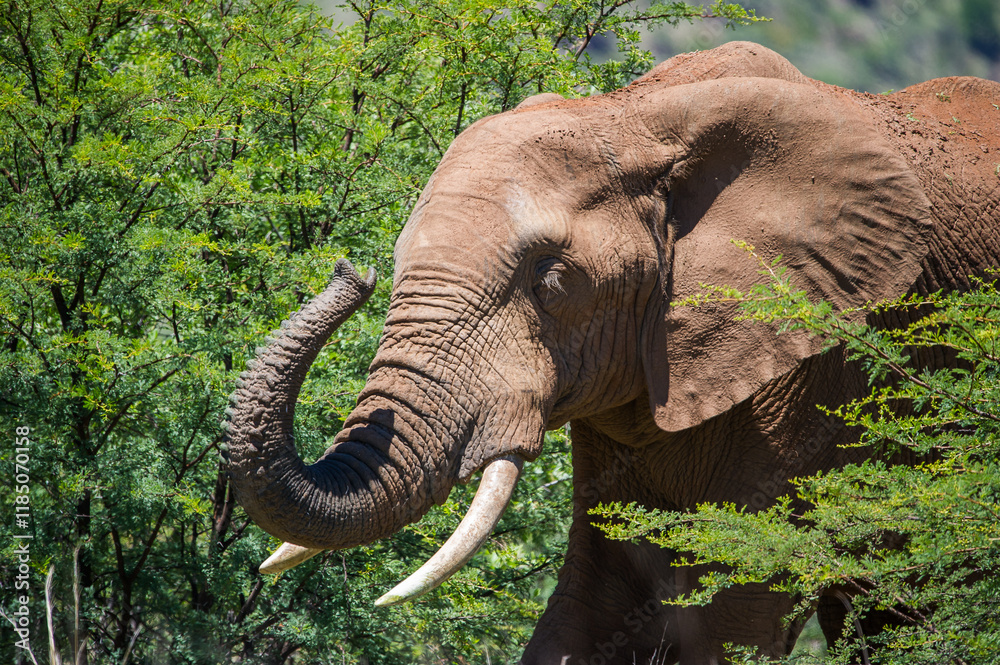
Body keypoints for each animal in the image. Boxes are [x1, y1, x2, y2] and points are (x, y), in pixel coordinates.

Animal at [223, 41, 1000, 664]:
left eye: (550, 278)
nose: (348, 272)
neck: (635, 119)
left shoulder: (810, 377)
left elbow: (730, 619)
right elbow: (592, 602)